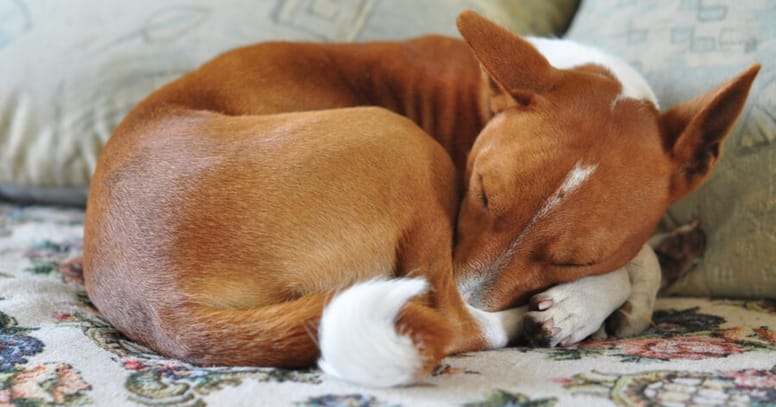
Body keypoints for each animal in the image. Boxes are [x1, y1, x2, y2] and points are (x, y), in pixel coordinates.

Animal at [82, 11, 756, 388]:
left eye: (572, 258)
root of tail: (162, 308)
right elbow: (637, 262)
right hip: (400, 141)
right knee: (455, 320)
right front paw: (592, 303)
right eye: (478, 193)